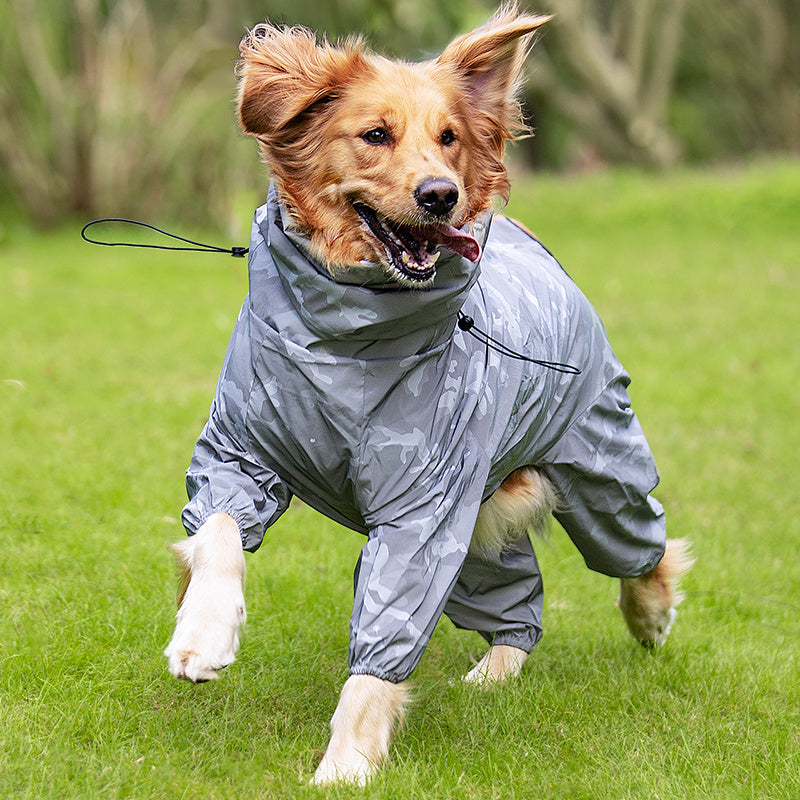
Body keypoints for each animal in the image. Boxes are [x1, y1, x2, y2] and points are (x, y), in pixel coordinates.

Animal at [164, 4, 692, 780]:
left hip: (594, 460)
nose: (442, 194)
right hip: (479, 519)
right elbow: (220, 534)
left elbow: (384, 640)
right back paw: (498, 669)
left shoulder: (424, 508)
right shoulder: (239, 450)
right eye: (375, 134)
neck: (347, 341)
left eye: (450, 138)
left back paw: (650, 616)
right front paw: (203, 635)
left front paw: (345, 765)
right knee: (515, 594)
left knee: (640, 542)